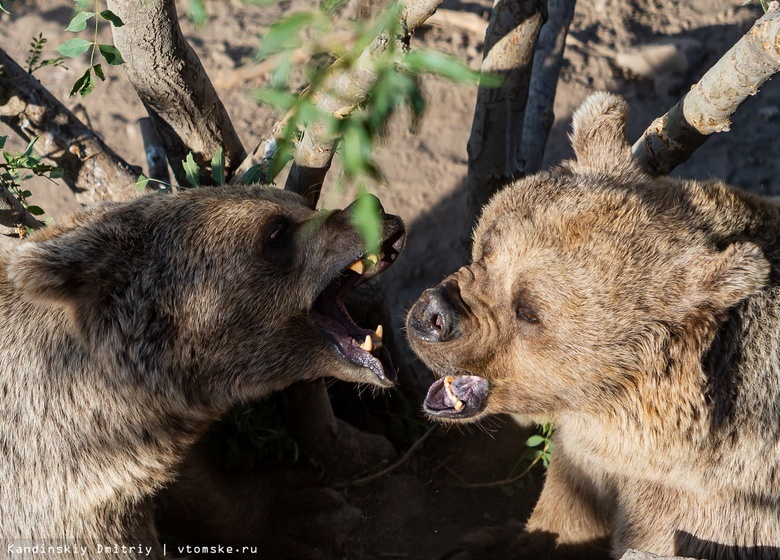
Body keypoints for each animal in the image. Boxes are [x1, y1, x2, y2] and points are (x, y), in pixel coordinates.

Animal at [408, 93, 780, 560]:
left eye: (528, 309)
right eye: (486, 245)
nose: (432, 316)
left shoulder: (719, 511)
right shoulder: (588, 463)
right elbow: (563, 516)